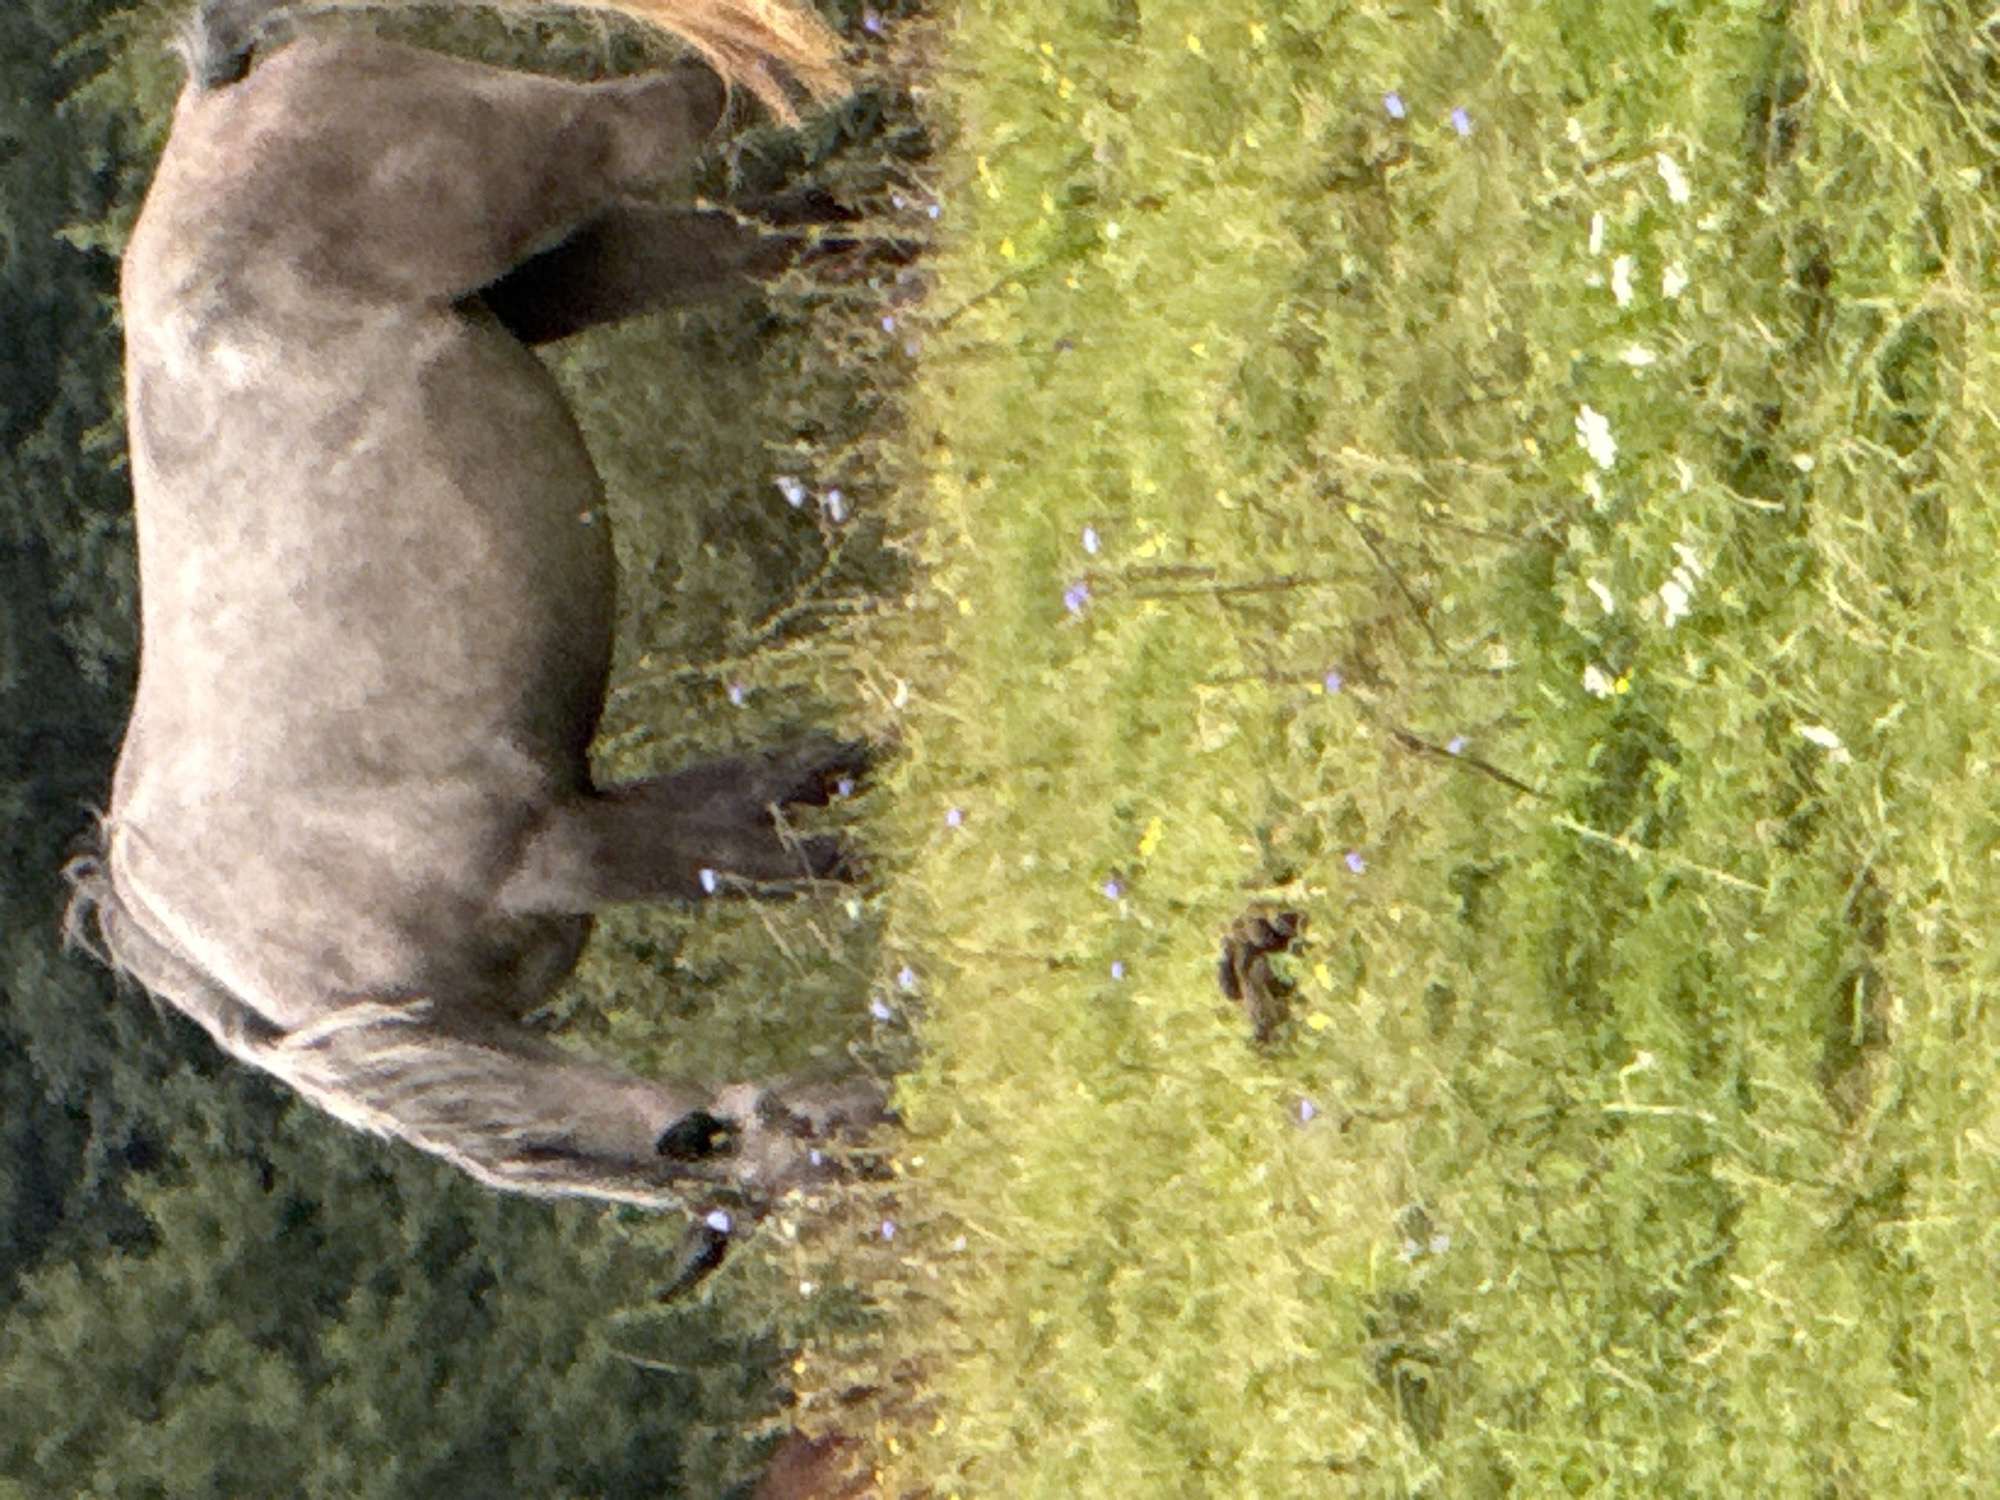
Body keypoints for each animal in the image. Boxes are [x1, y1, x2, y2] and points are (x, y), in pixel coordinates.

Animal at [65, 0, 887, 1209]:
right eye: (810, 1159)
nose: (908, 1117)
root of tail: (219, 97)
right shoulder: (592, 819)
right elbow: (794, 800)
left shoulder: (577, 845)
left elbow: (799, 856)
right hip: (578, 265)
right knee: (787, 236)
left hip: (571, 162)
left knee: (705, 100)